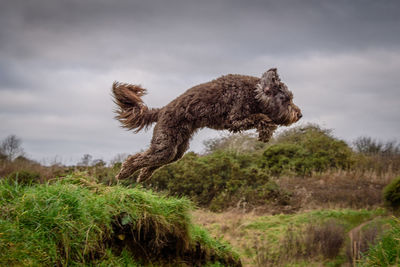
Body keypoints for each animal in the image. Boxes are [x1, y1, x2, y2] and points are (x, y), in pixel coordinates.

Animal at [111, 68, 300, 183]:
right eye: (286, 100)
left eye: (291, 98)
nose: (300, 114)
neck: (254, 93)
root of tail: (162, 110)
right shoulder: (234, 118)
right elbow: (261, 117)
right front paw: (266, 131)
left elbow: (262, 117)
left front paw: (267, 131)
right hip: (165, 143)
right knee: (137, 159)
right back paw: (124, 172)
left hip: (176, 148)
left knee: (158, 161)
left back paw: (143, 176)